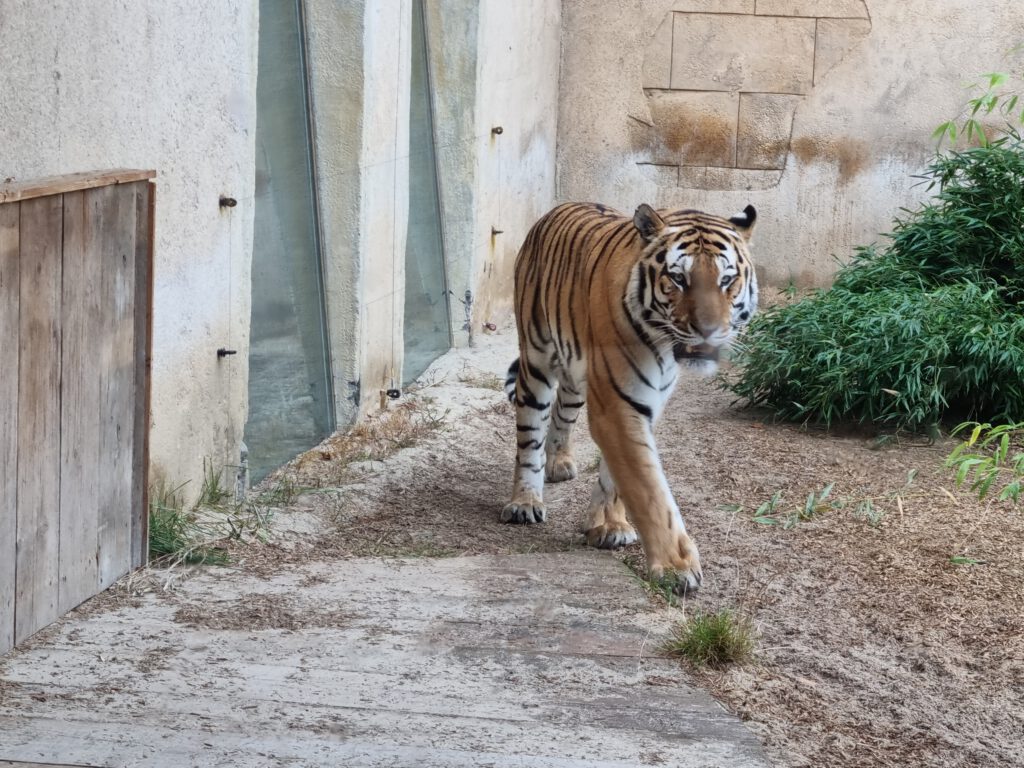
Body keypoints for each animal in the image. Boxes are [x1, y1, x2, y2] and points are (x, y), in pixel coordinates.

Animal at [499, 199, 757, 593]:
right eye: (678, 279)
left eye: (726, 280)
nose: (709, 331)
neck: (664, 346)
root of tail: (555, 208)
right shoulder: (617, 405)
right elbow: (648, 488)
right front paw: (676, 567)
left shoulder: (641, 402)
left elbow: (617, 476)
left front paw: (609, 525)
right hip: (536, 361)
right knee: (529, 434)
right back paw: (525, 501)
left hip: (575, 376)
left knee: (562, 413)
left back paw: (558, 462)